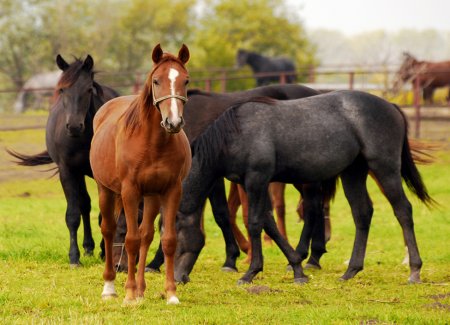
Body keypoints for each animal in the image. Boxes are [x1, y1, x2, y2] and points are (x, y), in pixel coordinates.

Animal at [6, 53, 118, 266]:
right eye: (62, 89)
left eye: (89, 89)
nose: (74, 126)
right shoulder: (68, 171)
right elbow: (73, 214)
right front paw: (74, 257)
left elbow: (105, 214)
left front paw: (105, 252)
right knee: (84, 204)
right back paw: (88, 247)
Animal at [90, 43, 191, 304]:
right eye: (156, 80)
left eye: (185, 80)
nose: (173, 122)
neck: (152, 144)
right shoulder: (129, 191)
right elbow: (130, 240)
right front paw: (128, 294)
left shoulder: (172, 190)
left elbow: (168, 240)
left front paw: (171, 294)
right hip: (106, 190)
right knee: (109, 230)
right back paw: (110, 288)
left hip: (152, 196)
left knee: (147, 234)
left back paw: (141, 289)